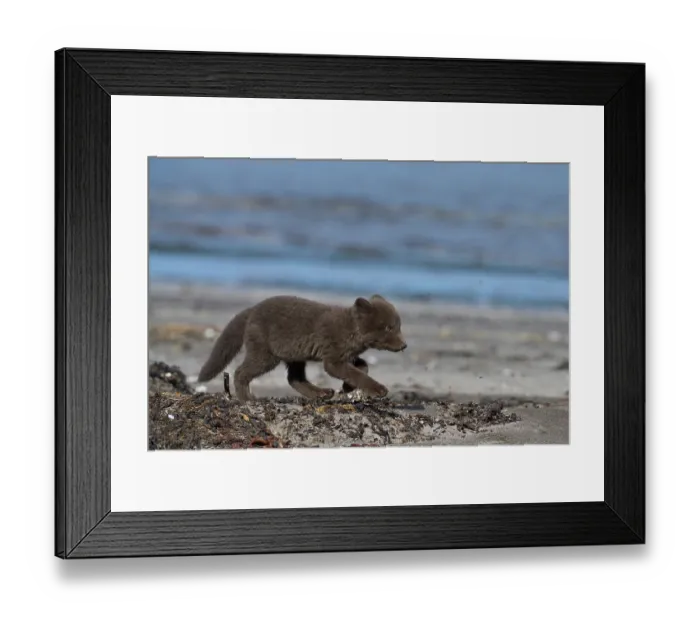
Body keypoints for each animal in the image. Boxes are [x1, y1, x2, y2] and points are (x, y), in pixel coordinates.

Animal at [197, 294, 407, 401]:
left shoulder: (347, 355)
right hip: (266, 352)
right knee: (241, 371)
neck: (351, 331)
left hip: (294, 353)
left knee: (294, 378)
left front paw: (347, 387)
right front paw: (379, 389)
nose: (404, 345)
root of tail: (252, 310)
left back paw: (322, 392)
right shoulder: (333, 356)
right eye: (388, 327)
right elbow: (353, 372)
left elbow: (362, 366)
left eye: (399, 326)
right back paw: (247, 398)